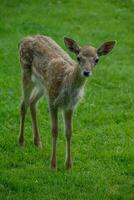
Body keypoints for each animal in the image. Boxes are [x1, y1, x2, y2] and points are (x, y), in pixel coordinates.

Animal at [18, 35, 116, 170]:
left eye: (97, 60)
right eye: (78, 57)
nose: (86, 72)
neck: (66, 81)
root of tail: (24, 39)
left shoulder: (70, 106)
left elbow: (69, 132)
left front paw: (69, 165)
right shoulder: (53, 101)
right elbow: (55, 131)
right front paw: (53, 165)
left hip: (43, 86)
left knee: (32, 102)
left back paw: (38, 143)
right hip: (26, 71)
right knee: (24, 105)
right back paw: (21, 141)